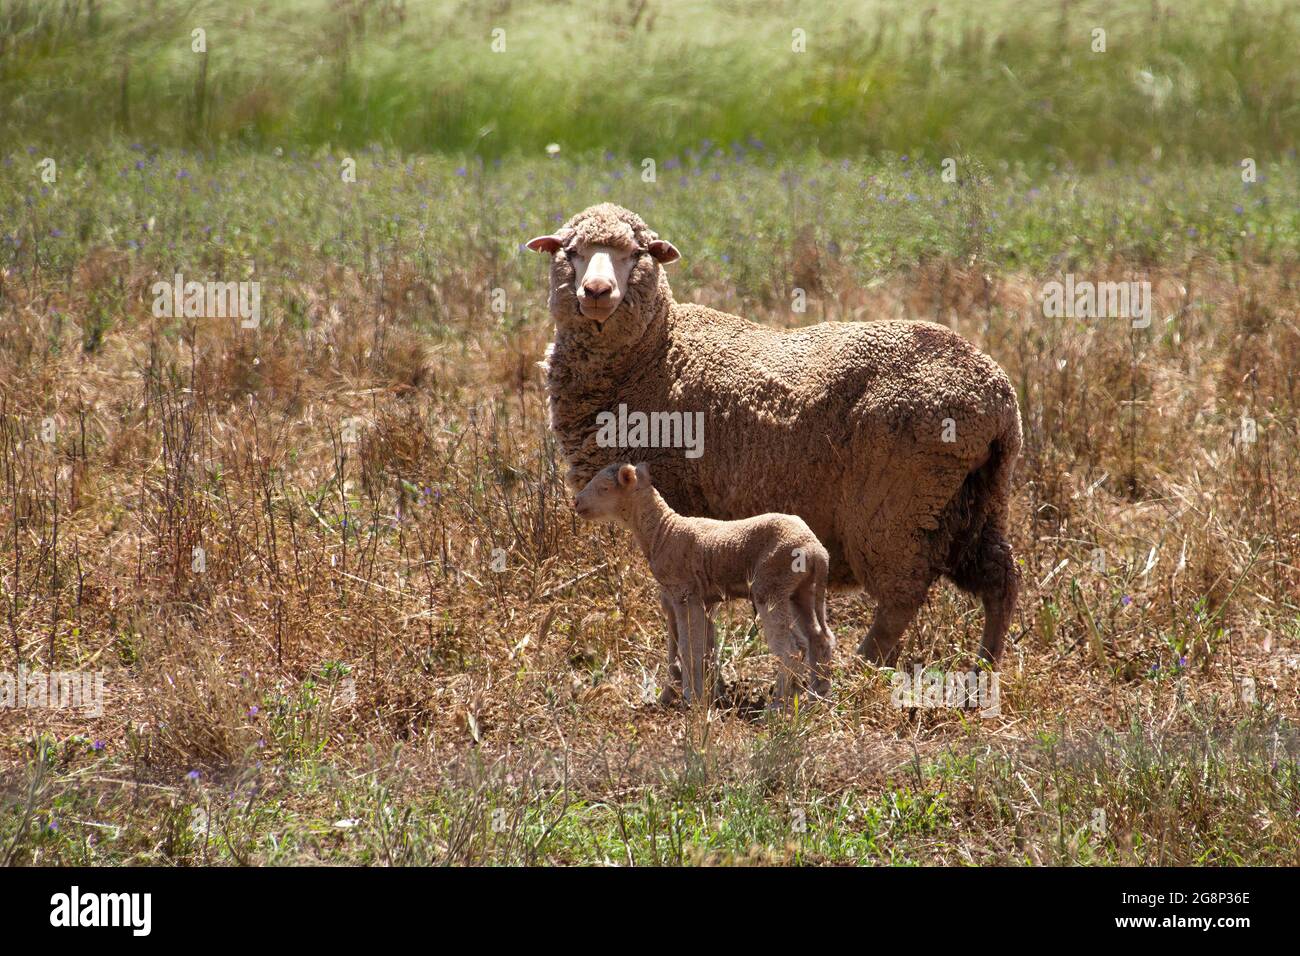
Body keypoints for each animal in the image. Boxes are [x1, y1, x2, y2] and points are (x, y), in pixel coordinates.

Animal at [529, 203, 1022, 670]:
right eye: (571, 251)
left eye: (636, 253)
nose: (596, 292)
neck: (658, 351)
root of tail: (996, 395)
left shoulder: (675, 500)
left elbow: (675, 606)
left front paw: (684, 674)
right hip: (976, 500)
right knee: (1001, 579)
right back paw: (984, 666)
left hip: (895, 510)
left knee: (902, 597)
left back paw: (864, 666)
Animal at [574, 462, 834, 706]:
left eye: (604, 488)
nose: (576, 502)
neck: (662, 531)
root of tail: (817, 550)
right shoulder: (702, 600)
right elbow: (705, 650)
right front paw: (708, 695)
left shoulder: (684, 594)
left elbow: (689, 648)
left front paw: (692, 697)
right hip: (799, 590)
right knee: (819, 639)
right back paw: (817, 698)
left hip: (770, 586)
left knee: (791, 649)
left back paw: (779, 705)